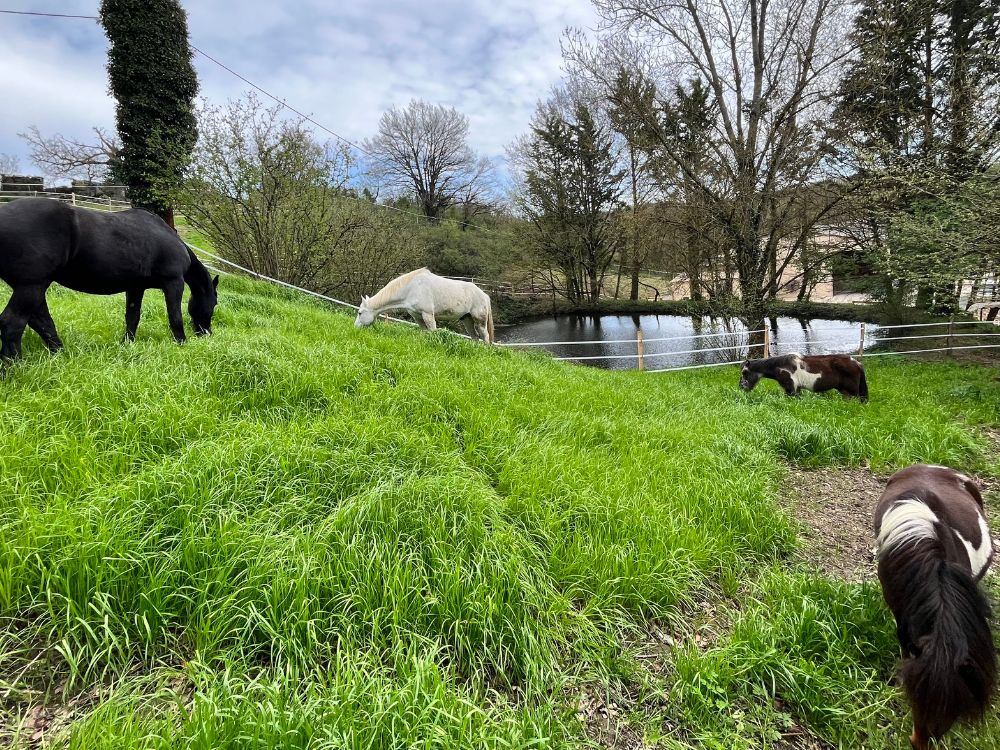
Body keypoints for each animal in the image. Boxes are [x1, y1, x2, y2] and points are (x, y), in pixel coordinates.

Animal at [0, 197, 219, 362]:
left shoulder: (135, 287)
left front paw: (127, 344)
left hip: (33, 287)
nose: (206, 333)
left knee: (42, 322)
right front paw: (182, 343)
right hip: (32, 285)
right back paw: (15, 366)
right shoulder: (174, 282)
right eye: (215, 303)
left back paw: (60, 355)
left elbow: (132, 317)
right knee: (12, 323)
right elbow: (175, 317)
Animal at [356, 268, 496, 346]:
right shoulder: (417, 316)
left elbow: (433, 331)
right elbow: (425, 333)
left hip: (479, 320)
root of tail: (484, 295)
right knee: (475, 337)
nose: (355, 328)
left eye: (360, 313)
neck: (411, 288)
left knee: (485, 337)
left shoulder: (428, 314)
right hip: (467, 319)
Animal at [736, 354, 868, 402]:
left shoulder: (791, 389)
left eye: (744, 372)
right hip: (845, 392)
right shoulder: (797, 389)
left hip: (853, 392)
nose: (741, 387)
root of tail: (857, 363)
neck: (780, 365)